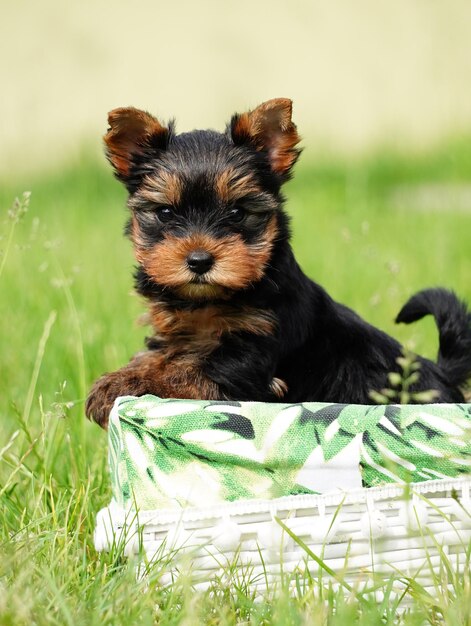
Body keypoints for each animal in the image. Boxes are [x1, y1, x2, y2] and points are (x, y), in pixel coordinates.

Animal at [85, 97, 471, 426]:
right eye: (165, 213)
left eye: (238, 213)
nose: (199, 260)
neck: (210, 301)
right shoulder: (177, 334)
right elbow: (161, 356)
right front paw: (123, 375)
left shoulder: (252, 356)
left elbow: (186, 369)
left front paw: (120, 386)